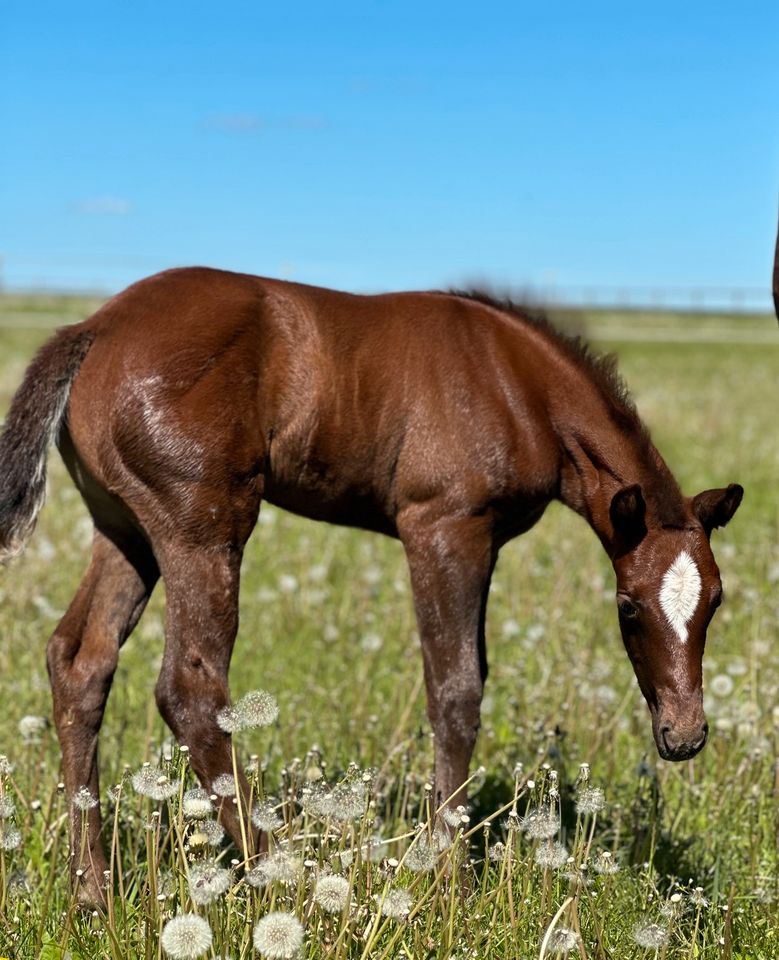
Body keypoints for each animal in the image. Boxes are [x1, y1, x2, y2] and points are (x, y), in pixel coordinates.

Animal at [0, 266, 744, 904]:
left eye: (714, 602)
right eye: (627, 608)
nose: (683, 735)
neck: (516, 382)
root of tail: (94, 327)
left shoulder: (483, 541)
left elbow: (471, 676)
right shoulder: (443, 527)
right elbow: (455, 693)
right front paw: (451, 881)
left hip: (124, 528)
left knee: (80, 663)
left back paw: (94, 895)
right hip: (201, 528)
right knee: (190, 688)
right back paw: (281, 876)